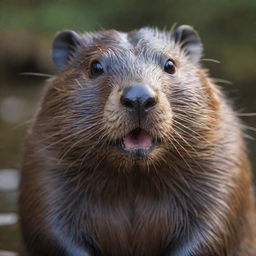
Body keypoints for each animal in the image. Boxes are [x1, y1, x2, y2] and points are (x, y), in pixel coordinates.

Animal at [18, 24, 256, 256]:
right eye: (95, 67)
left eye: (170, 64)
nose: (139, 97)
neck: (134, 181)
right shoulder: (44, 167)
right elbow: (49, 228)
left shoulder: (224, 166)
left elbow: (214, 226)